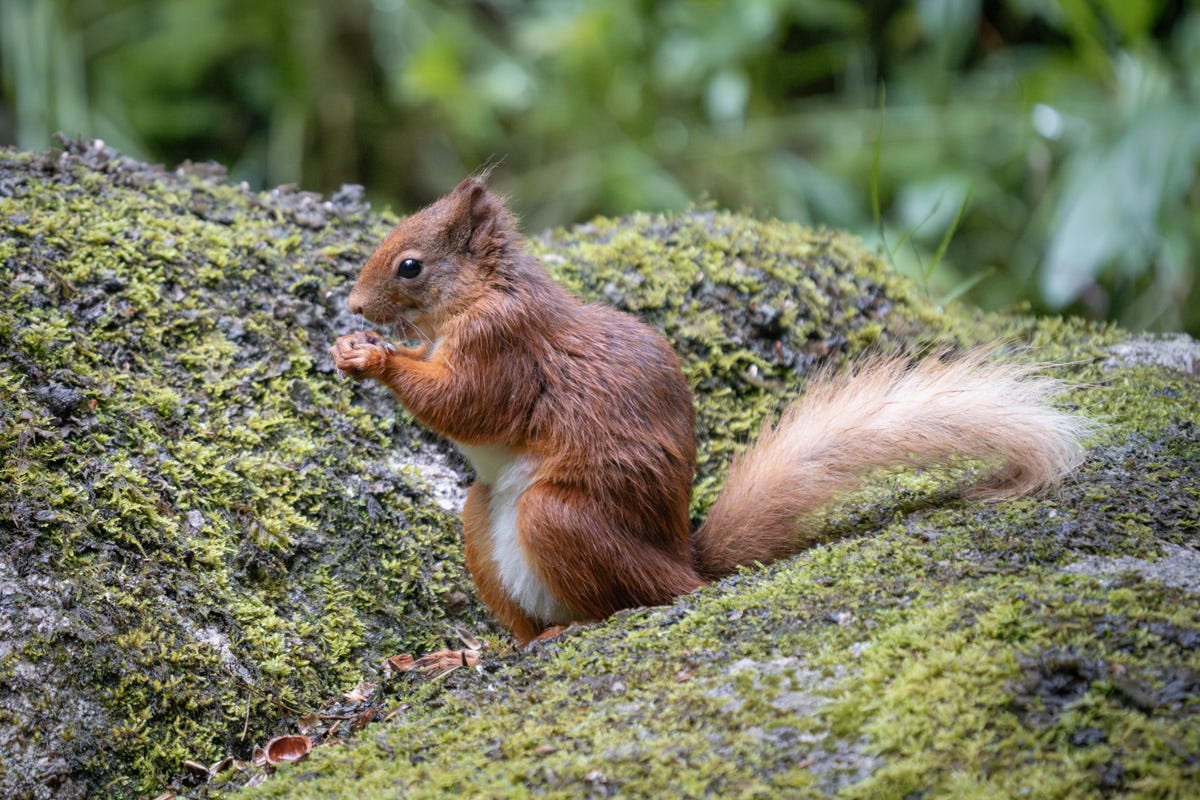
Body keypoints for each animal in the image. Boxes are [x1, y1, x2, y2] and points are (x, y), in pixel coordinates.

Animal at [331, 177, 1088, 644]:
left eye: (410, 266)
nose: (355, 306)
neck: (482, 292)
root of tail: (682, 566)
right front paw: (355, 346)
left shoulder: (506, 345)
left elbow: (469, 403)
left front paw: (377, 360)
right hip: (479, 520)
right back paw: (503, 647)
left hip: (560, 518)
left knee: (624, 602)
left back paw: (576, 627)